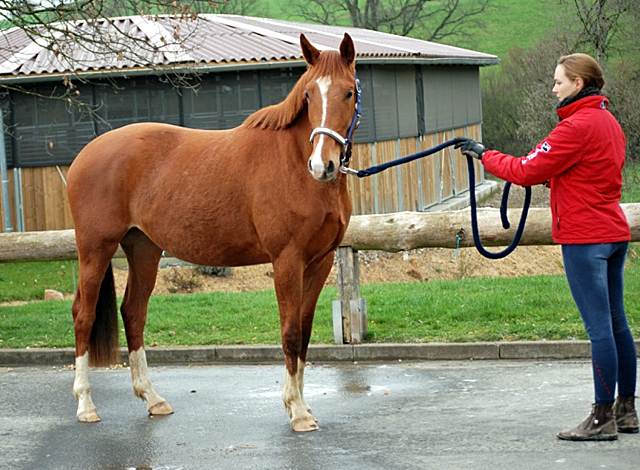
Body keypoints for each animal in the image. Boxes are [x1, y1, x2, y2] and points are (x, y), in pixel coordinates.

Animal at [67, 33, 358, 432]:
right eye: (310, 94)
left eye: (349, 92)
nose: (322, 165)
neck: (295, 164)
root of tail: (86, 154)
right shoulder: (287, 261)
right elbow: (290, 333)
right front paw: (297, 411)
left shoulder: (320, 261)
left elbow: (305, 330)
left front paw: (302, 406)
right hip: (95, 248)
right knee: (84, 315)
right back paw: (85, 405)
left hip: (143, 249)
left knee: (133, 313)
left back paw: (153, 399)